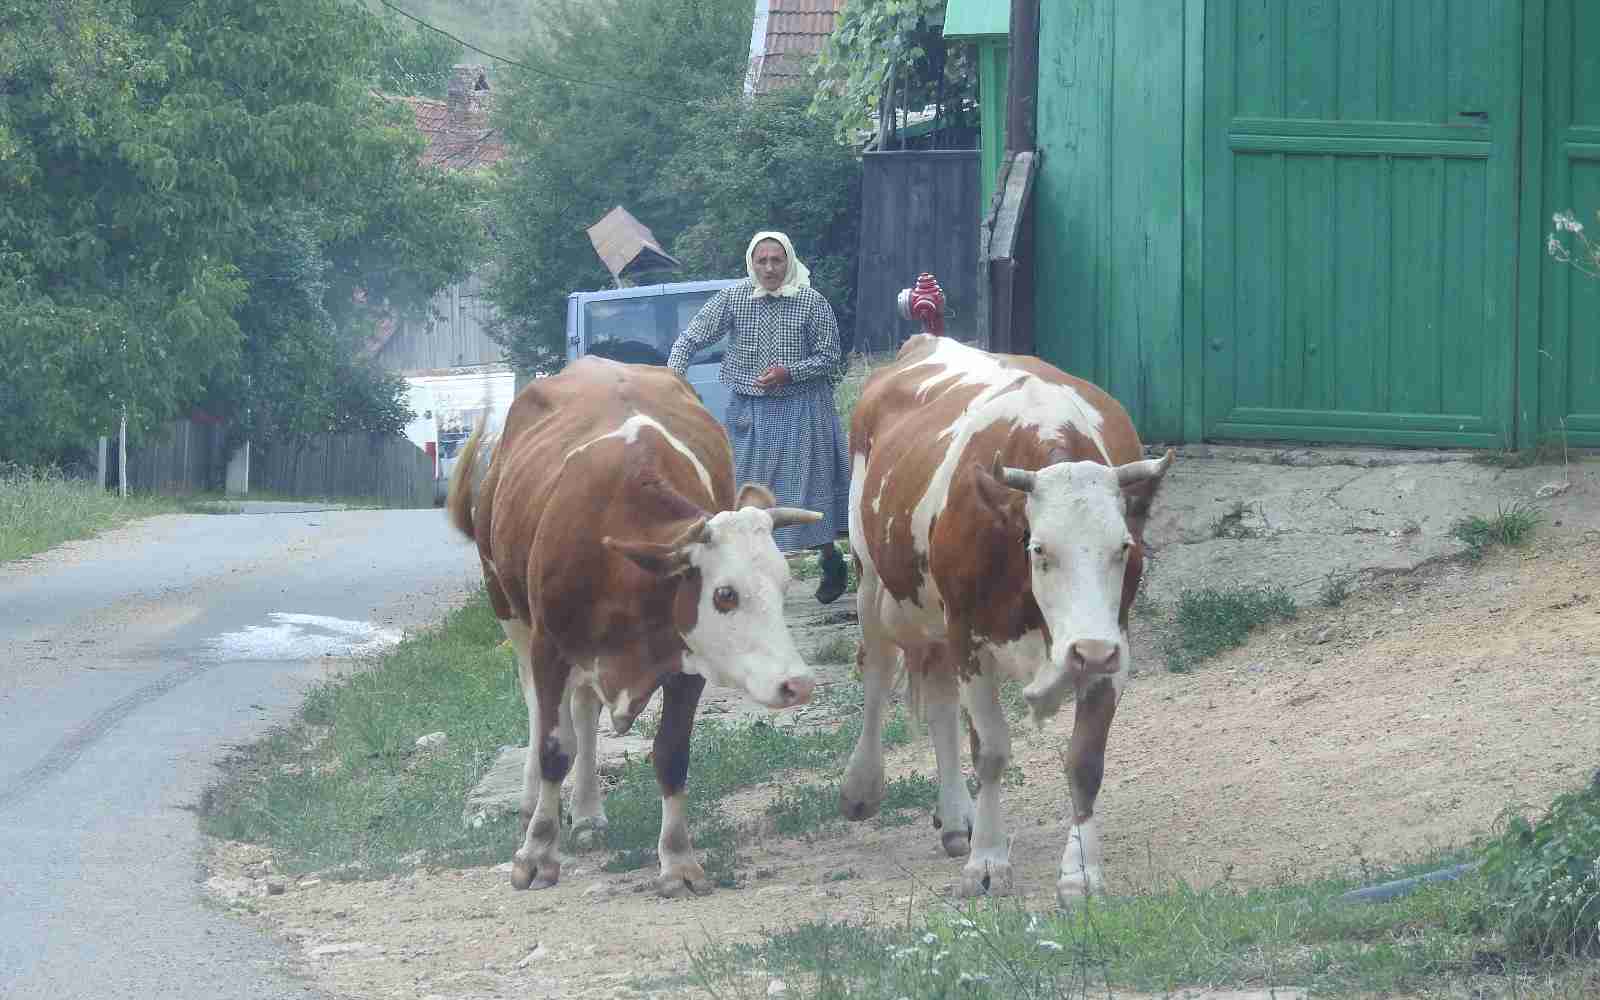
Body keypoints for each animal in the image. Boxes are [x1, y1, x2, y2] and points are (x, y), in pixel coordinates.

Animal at [451, 356, 825, 896]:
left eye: (783, 583)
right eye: (725, 594)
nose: (797, 684)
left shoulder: (687, 659)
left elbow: (671, 754)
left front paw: (678, 860)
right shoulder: (548, 646)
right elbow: (552, 746)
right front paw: (537, 851)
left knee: (584, 712)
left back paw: (588, 812)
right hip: (509, 612)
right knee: (539, 710)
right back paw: (532, 801)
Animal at [844, 332, 1171, 902]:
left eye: (1124, 547)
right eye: (1039, 549)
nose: (1089, 651)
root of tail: (923, 340)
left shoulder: (1114, 641)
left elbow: (1085, 760)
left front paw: (1080, 871)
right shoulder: (969, 636)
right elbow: (992, 751)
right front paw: (988, 863)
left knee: (939, 706)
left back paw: (956, 818)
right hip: (872, 581)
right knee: (878, 673)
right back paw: (863, 785)